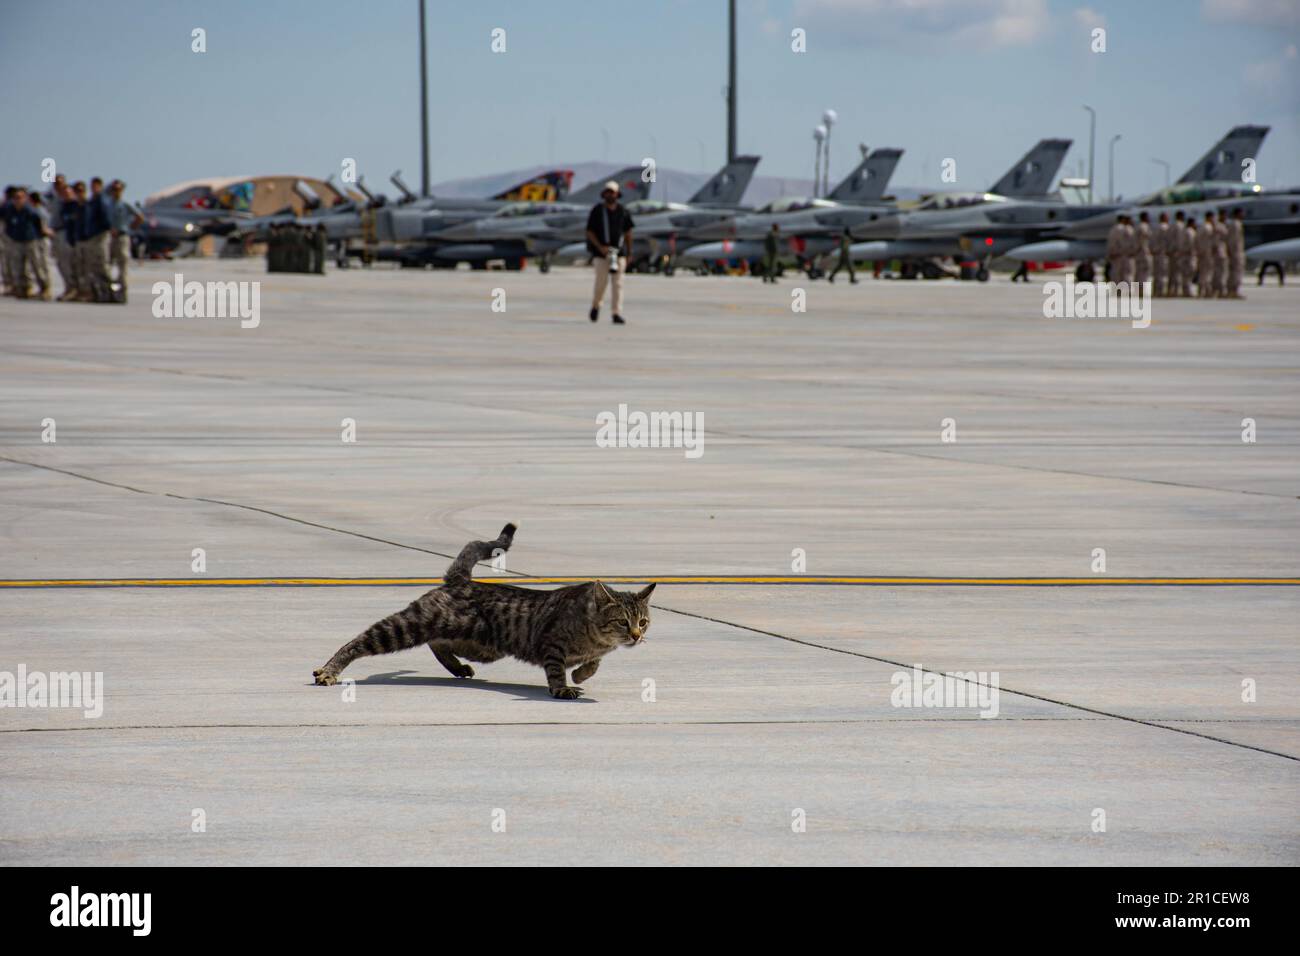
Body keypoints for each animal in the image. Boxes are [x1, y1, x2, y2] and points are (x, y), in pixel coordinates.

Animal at [310, 528, 655, 697]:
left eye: (643, 621)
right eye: (622, 622)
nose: (636, 636)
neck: (595, 635)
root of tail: (460, 579)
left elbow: (593, 664)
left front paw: (581, 674)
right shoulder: (551, 643)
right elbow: (557, 669)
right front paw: (563, 687)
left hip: (482, 646)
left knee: (438, 644)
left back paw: (458, 667)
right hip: (411, 625)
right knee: (361, 640)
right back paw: (330, 670)